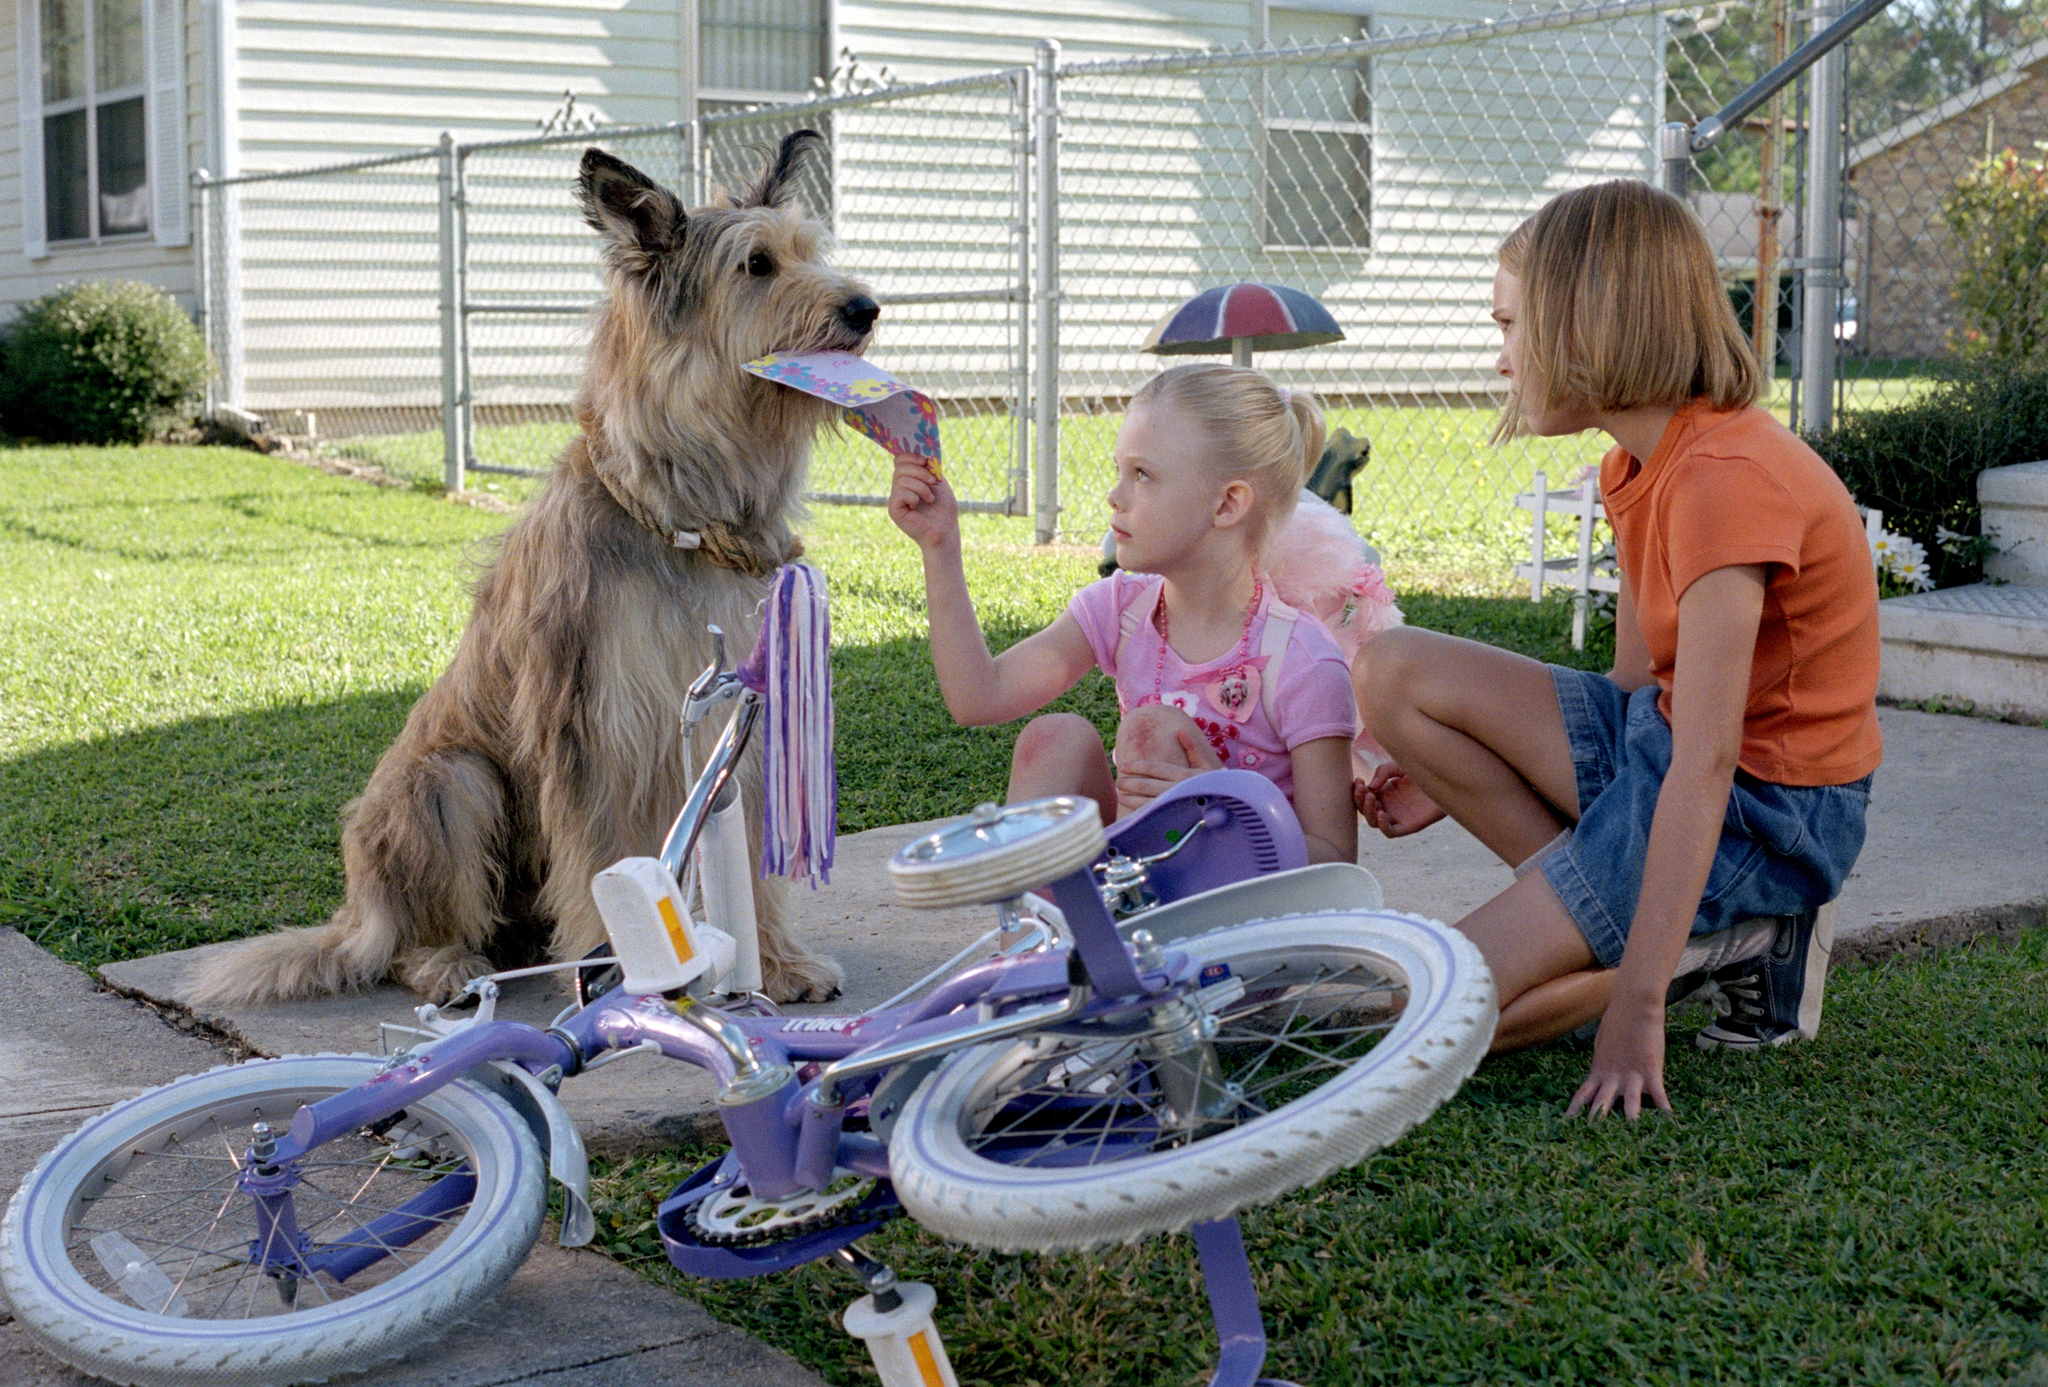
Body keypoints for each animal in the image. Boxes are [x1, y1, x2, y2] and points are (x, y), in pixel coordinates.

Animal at [192, 132, 864, 1007]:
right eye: (757, 264)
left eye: (809, 253)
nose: (865, 308)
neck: (680, 517)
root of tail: (356, 910)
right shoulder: (595, 727)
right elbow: (602, 857)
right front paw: (624, 978)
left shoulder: (734, 728)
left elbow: (748, 852)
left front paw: (776, 964)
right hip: (451, 783)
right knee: (409, 940)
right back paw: (450, 964)